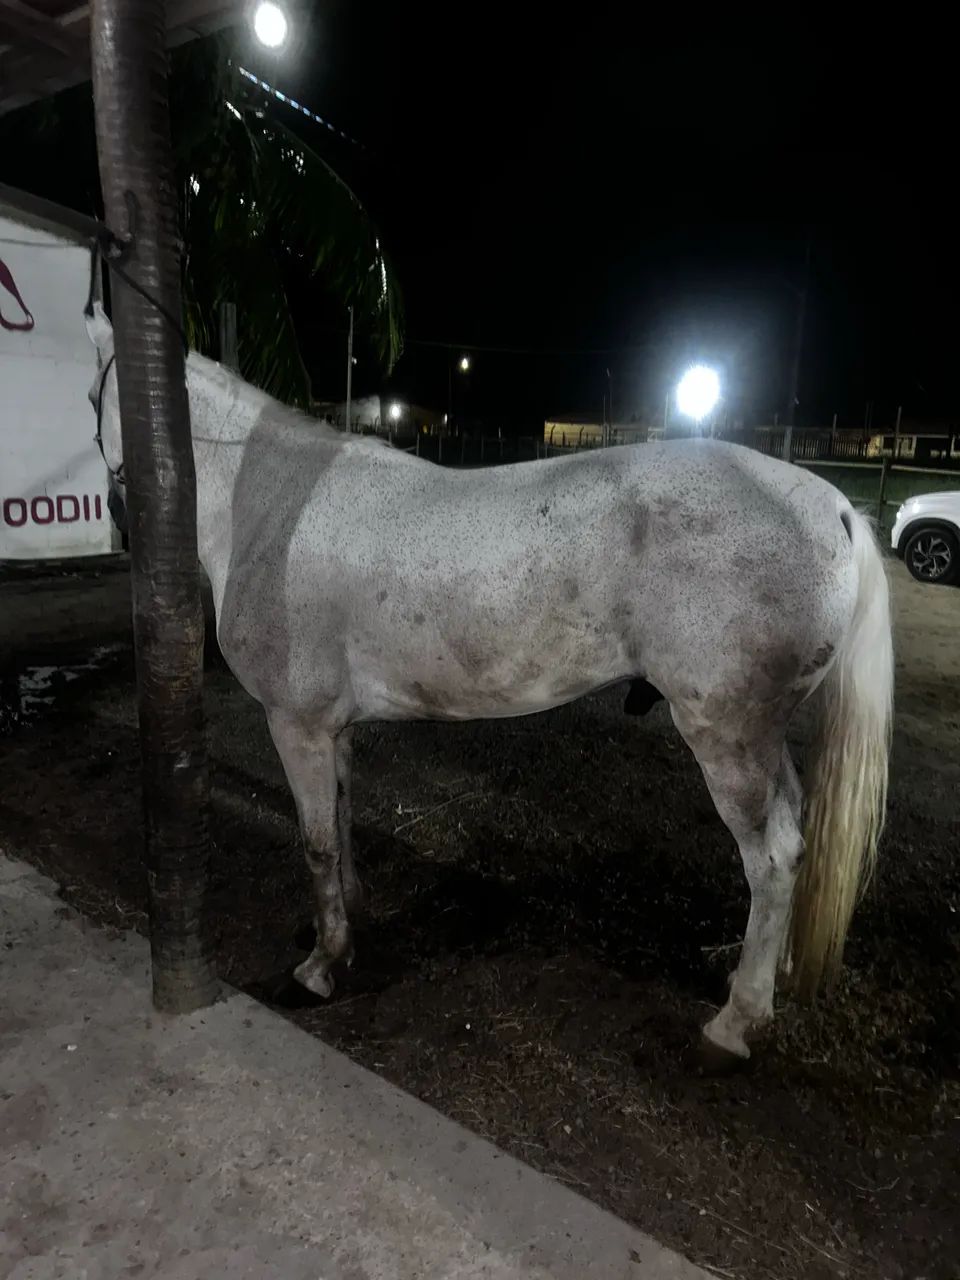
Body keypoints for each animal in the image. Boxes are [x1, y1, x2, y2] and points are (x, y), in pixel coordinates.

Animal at [85, 304, 893, 1063]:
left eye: (92, 394)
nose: (120, 517)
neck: (273, 504)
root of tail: (835, 508)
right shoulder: (335, 728)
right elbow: (340, 824)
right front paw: (348, 925)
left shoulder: (298, 723)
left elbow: (314, 842)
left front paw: (319, 966)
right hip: (762, 736)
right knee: (798, 835)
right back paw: (769, 975)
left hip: (727, 737)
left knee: (774, 857)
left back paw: (736, 1019)